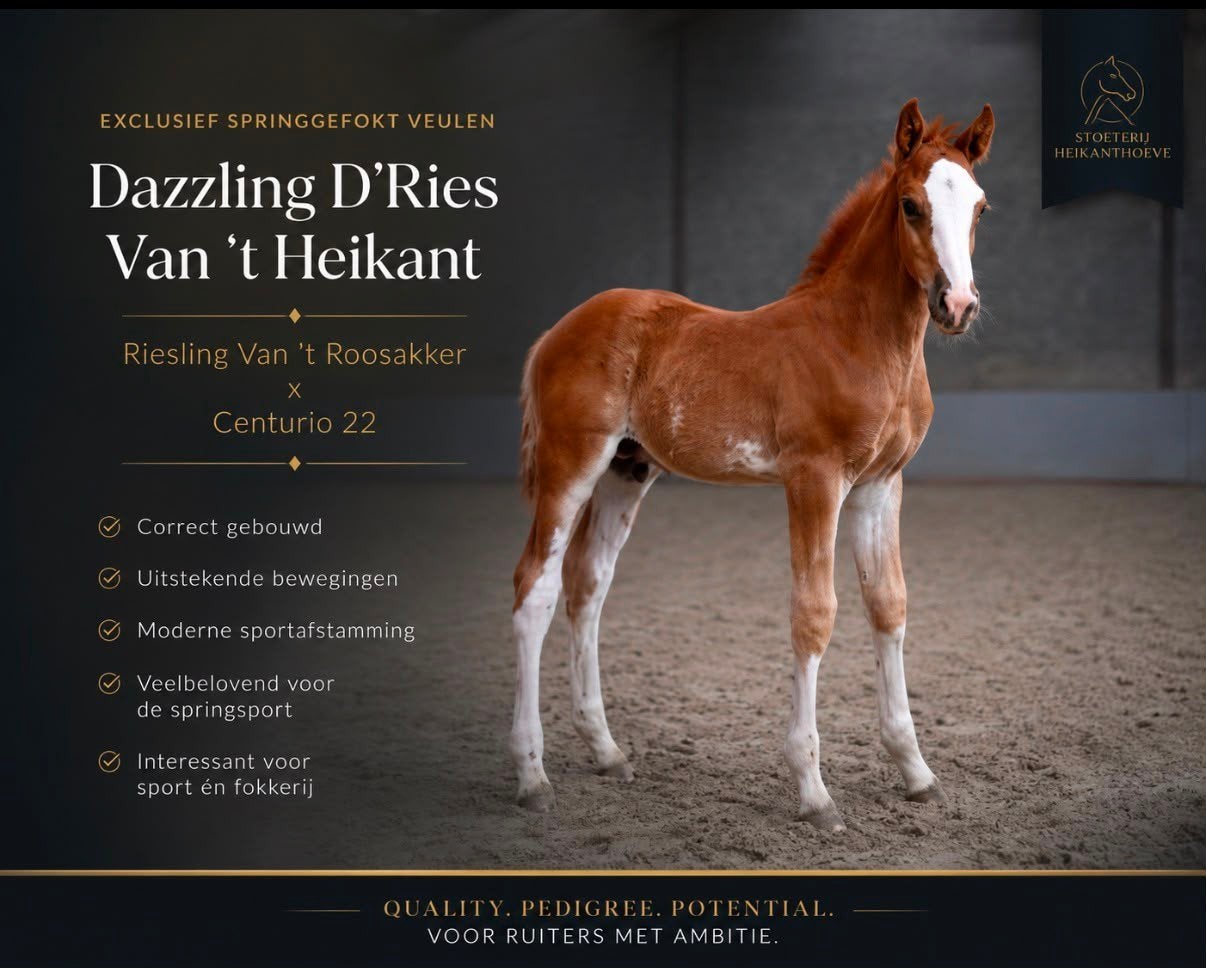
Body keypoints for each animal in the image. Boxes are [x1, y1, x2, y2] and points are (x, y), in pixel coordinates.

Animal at [509, 98, 994, 831]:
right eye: (911, 205)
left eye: (980, 207)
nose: (957, 305)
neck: (858, 339)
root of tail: (556, 332)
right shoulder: (814, 479)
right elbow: (814, 613)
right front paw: (814, 792)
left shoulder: (881, 485)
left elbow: (888, 604)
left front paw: (916, 772)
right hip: (572, 463)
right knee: (533, 588)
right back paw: (532, 775)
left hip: (627, 469)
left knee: (587, 584)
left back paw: (607, 751)